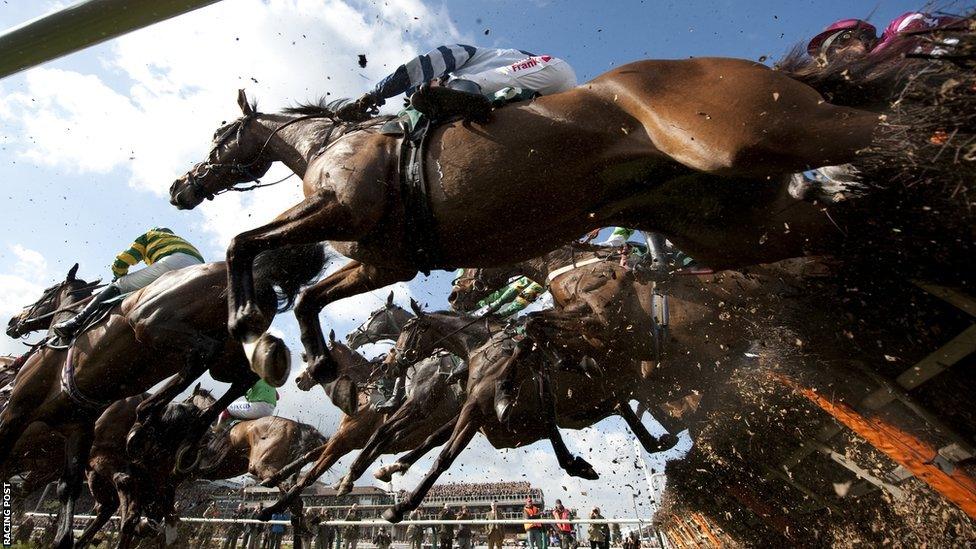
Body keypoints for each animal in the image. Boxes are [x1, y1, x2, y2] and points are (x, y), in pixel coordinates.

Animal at [0, 249, 320, 548]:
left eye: (47, 292)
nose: (15, 321)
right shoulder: (78, 430)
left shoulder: (19, 410)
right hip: (227, 351)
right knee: (238, 376)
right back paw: (176, 432)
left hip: (151, 324)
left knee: (203, 354)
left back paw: (146, 420)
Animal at [170, 56, 884, 390]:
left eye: (221, 133)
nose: (182, 187)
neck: (328, 144)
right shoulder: (384, 259)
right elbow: (311, 297)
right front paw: (315, 362)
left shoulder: (343, 207)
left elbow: (240, 242)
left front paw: (249, 326)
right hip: (730, 222)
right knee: (828, 222)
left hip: (745, 136)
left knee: (888, 121)